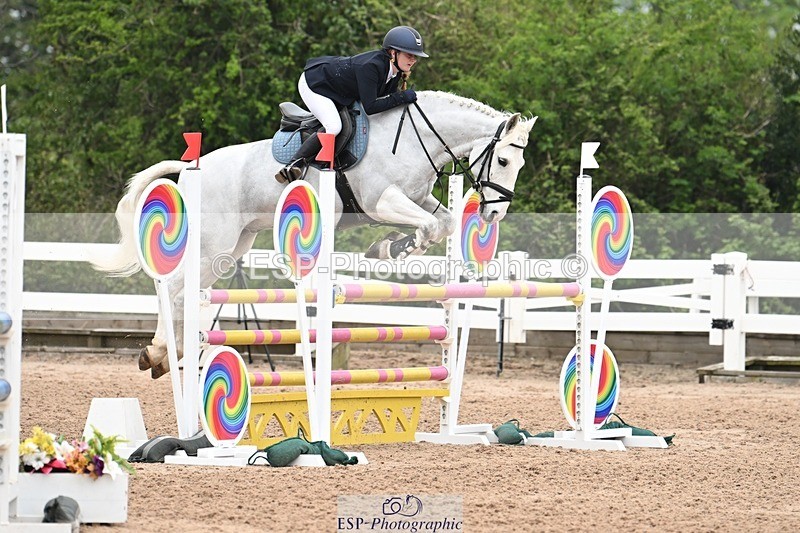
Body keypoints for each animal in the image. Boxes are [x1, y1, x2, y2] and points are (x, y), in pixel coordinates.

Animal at [92, 90, 537, 378]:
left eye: (519, 164)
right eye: (502, 160)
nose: (494, 213)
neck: (415, 138)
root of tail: (189, 168)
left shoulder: (417, 198)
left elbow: (442, 222)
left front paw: (388, 247)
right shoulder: (380, 202)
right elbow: (427, 227)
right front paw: (390, 248)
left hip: (231, 248)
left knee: (187, 293)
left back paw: (166, 355)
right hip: (212, 241)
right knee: (173, 288)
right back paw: (159, 352)